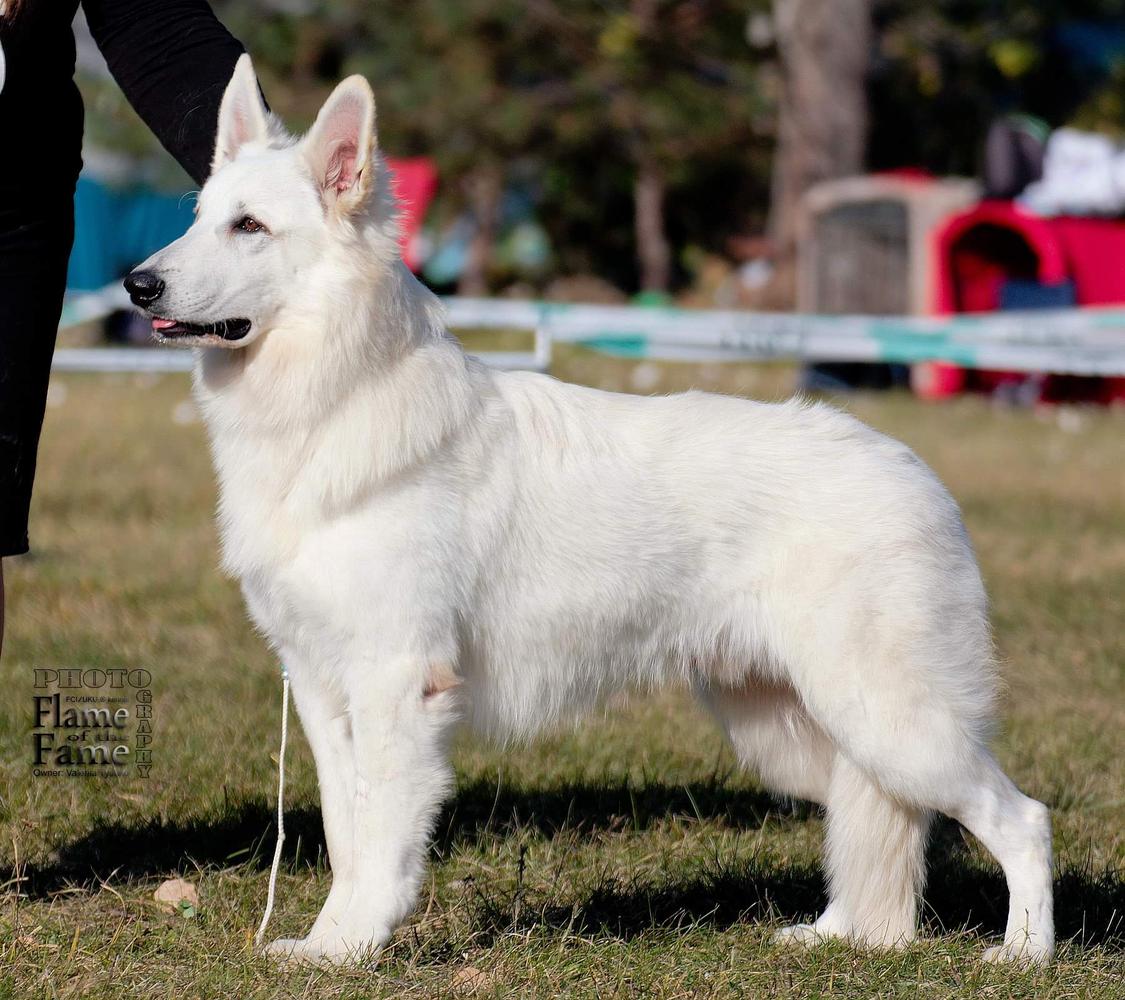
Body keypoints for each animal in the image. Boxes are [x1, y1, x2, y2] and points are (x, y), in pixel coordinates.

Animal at [125, 56, 1053, 967]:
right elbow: (346, 834)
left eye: (250, 227)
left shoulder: (397, 684)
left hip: (886, 718)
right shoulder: (322, 690)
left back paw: (1020, 955)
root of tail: (911, 471)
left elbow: (382, 840)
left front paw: (352, 946)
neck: (334, 395)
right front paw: (329, 946)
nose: (137, 285)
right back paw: (837, 936)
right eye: (200, 218)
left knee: (1021, 821)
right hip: (792, 729)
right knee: (869, 820)